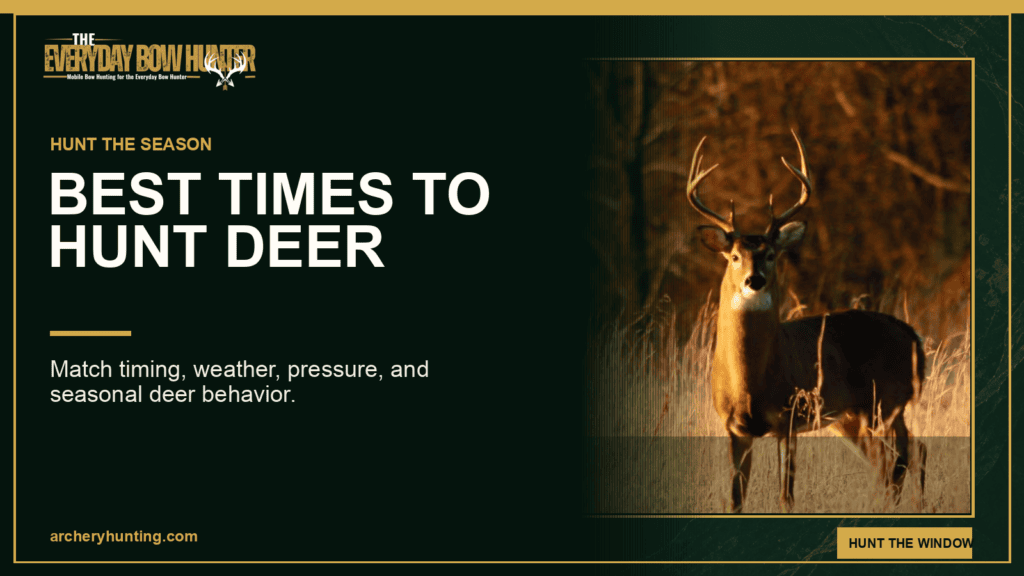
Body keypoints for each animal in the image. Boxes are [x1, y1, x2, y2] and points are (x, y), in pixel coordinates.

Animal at [687, 131, 926, 513]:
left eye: (771, 255)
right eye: (735, 256)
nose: (754, 280)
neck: (750, 382)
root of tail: (912, 333)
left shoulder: (788, 416)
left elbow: (786, 496)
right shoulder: (734, 428)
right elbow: (735, 499)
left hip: (888, 400)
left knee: (910, 452)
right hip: (853, 416)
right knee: (889, 460)